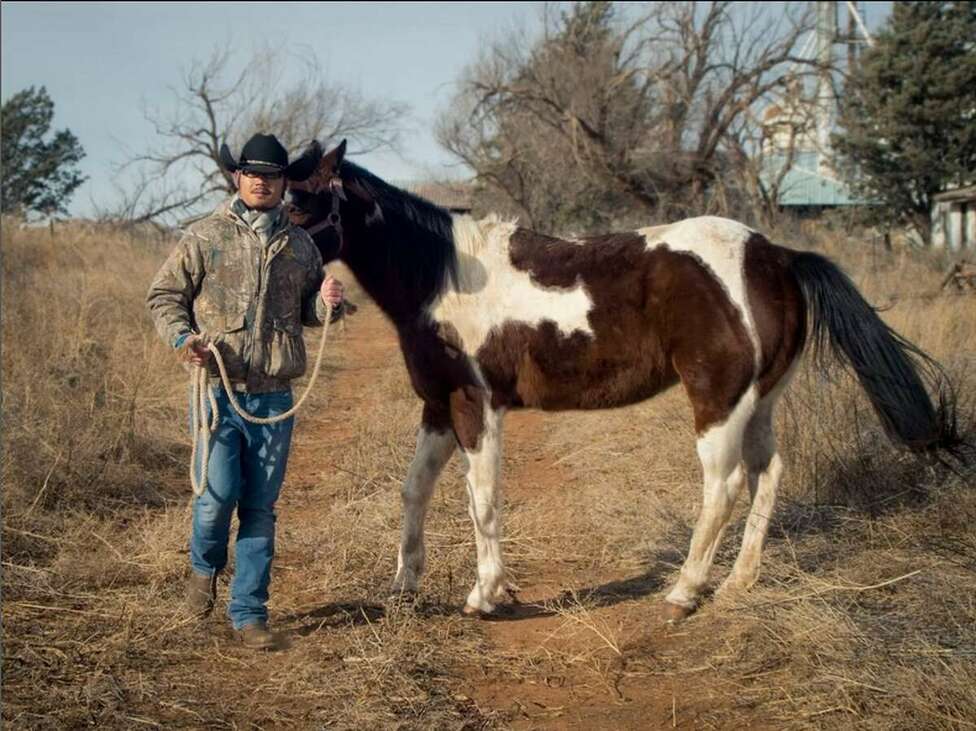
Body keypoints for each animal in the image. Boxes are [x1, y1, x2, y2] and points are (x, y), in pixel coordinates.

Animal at [290, 140, 960, 620]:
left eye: (302, 202)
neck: (445, 275)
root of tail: (774, 257)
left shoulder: (475, 405)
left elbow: (482, 499)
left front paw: (487, 595)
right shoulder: (438, 404)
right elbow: (416, 491)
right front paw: (405, 586)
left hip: (717, 403)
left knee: (725, 486)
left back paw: (684, 592)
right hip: (760, 403)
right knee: (768, 473)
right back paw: (738, 583)